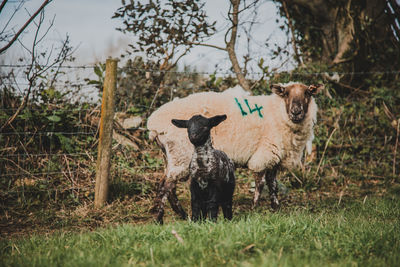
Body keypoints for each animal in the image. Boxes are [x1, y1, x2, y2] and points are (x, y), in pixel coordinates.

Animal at [148, 82, 324, 224]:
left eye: (308, 93)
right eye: (286, 93)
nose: (296, 112)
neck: (278, 113)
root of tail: (154, 124)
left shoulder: (274, 156)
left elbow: (273, 185)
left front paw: (276, 209)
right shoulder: (264, 154)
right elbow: (260, 184)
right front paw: (254, 210)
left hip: (171, 157)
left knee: (168, 186)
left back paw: (181, 215)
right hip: (180, 155)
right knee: (165, 187)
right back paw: (159, 219)